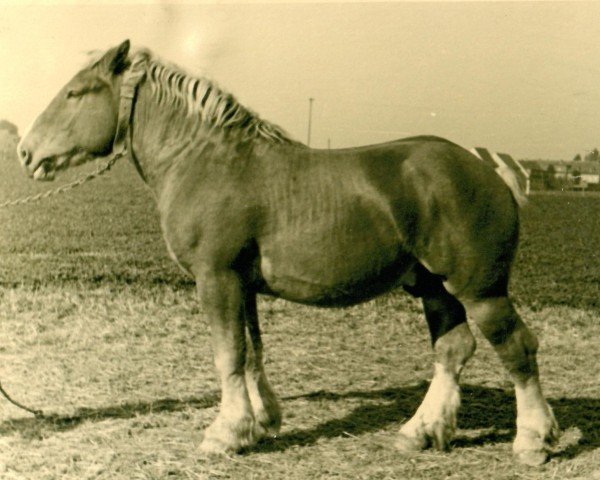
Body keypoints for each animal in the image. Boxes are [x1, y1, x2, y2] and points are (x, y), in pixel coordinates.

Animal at [16, 41, 556, 464]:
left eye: (76, 92)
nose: (25, 151)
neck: (203, 159)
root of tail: (492, 168)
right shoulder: (242, 283)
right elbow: (252, 351)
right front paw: (262, 421)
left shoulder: (216, 277)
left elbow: (228, 354)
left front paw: (225, 433)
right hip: (433, 287)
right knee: (453, 349)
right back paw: (420, 431)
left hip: (480, 290)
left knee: (517, 348)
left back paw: (533, 440)